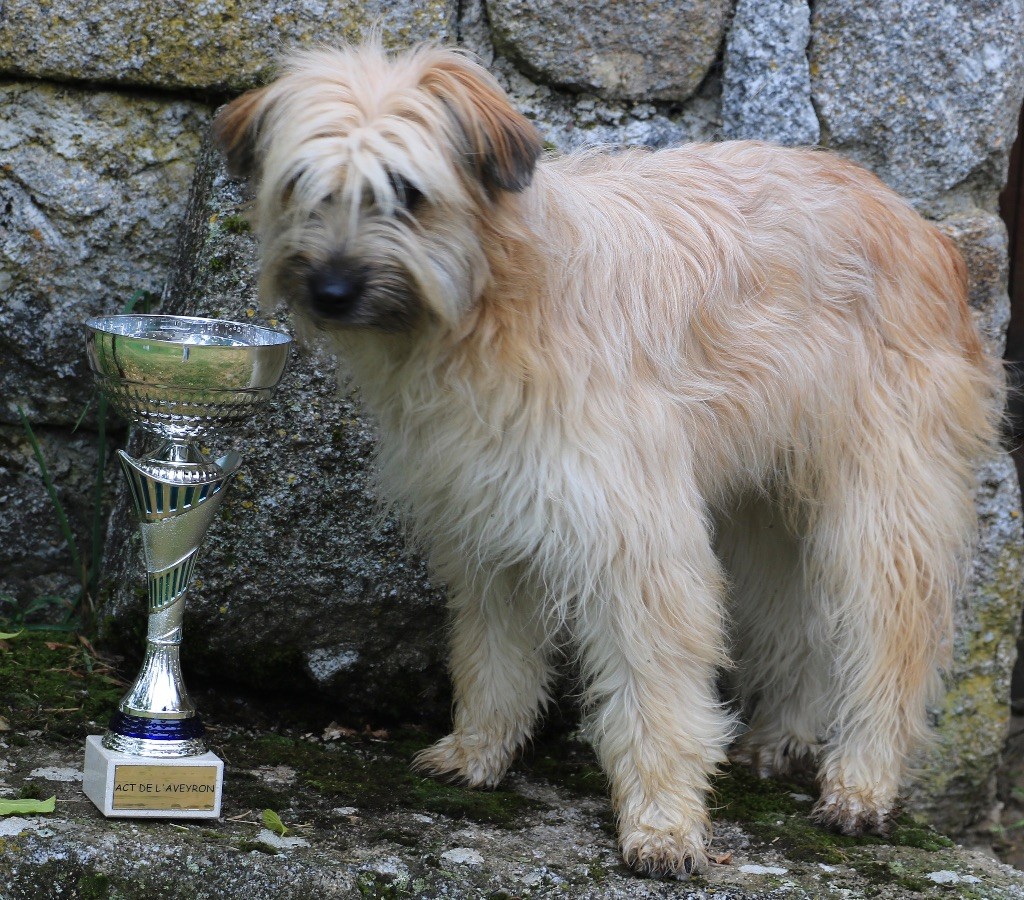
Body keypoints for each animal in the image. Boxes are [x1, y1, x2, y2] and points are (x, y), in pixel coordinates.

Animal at [214, 44, 999, 880]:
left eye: (406, 192)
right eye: (302, 185)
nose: (331, 290)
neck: (495, 305)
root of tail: (923, 227)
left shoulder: (635, 539)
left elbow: (653, 693)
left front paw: (662, 824)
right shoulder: (490, 524)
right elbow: (494, 654)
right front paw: (479, 751)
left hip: (882, 505)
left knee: (890, 639)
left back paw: (861, 782)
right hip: (767, 510)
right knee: (799, 622)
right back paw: (780, 737)